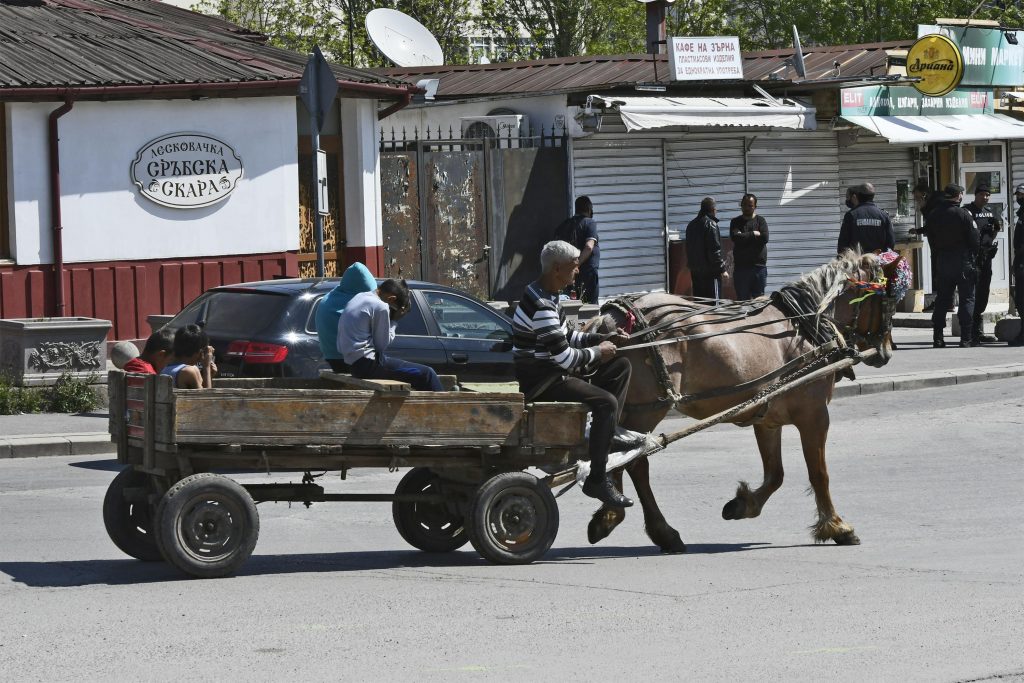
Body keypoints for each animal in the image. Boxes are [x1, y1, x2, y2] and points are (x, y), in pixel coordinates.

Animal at [585, 250, 905, 557]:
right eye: (890, 302)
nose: (887, 352)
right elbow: (819, 474)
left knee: (616, 451)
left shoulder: (767, 419)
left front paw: (743, 505)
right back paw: (652, 526)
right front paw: (836, 526)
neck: (806, 325)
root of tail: (611, 319)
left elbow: (776, 474)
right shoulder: (814, 416)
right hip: (648, 410)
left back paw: (612, 510)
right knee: (634, 461)